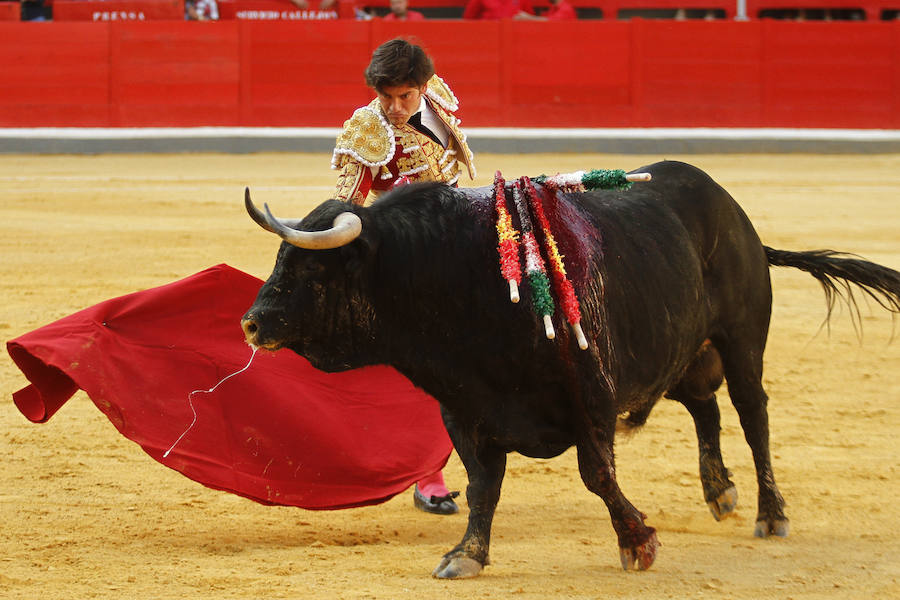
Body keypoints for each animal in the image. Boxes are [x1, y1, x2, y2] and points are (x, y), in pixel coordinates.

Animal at [239, 159, 900, 576]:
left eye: (312, 268)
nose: (250, 323)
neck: (451, 275)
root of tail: (735, 214)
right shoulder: (465, 409)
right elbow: (482, 484)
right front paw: (466, 555)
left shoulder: (591, 396)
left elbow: (597, 475)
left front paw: (639, 543)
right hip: (677, 346)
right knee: (704, 407)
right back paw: (721, 493)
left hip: (741, 340)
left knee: (752, 413)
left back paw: (770, 513)